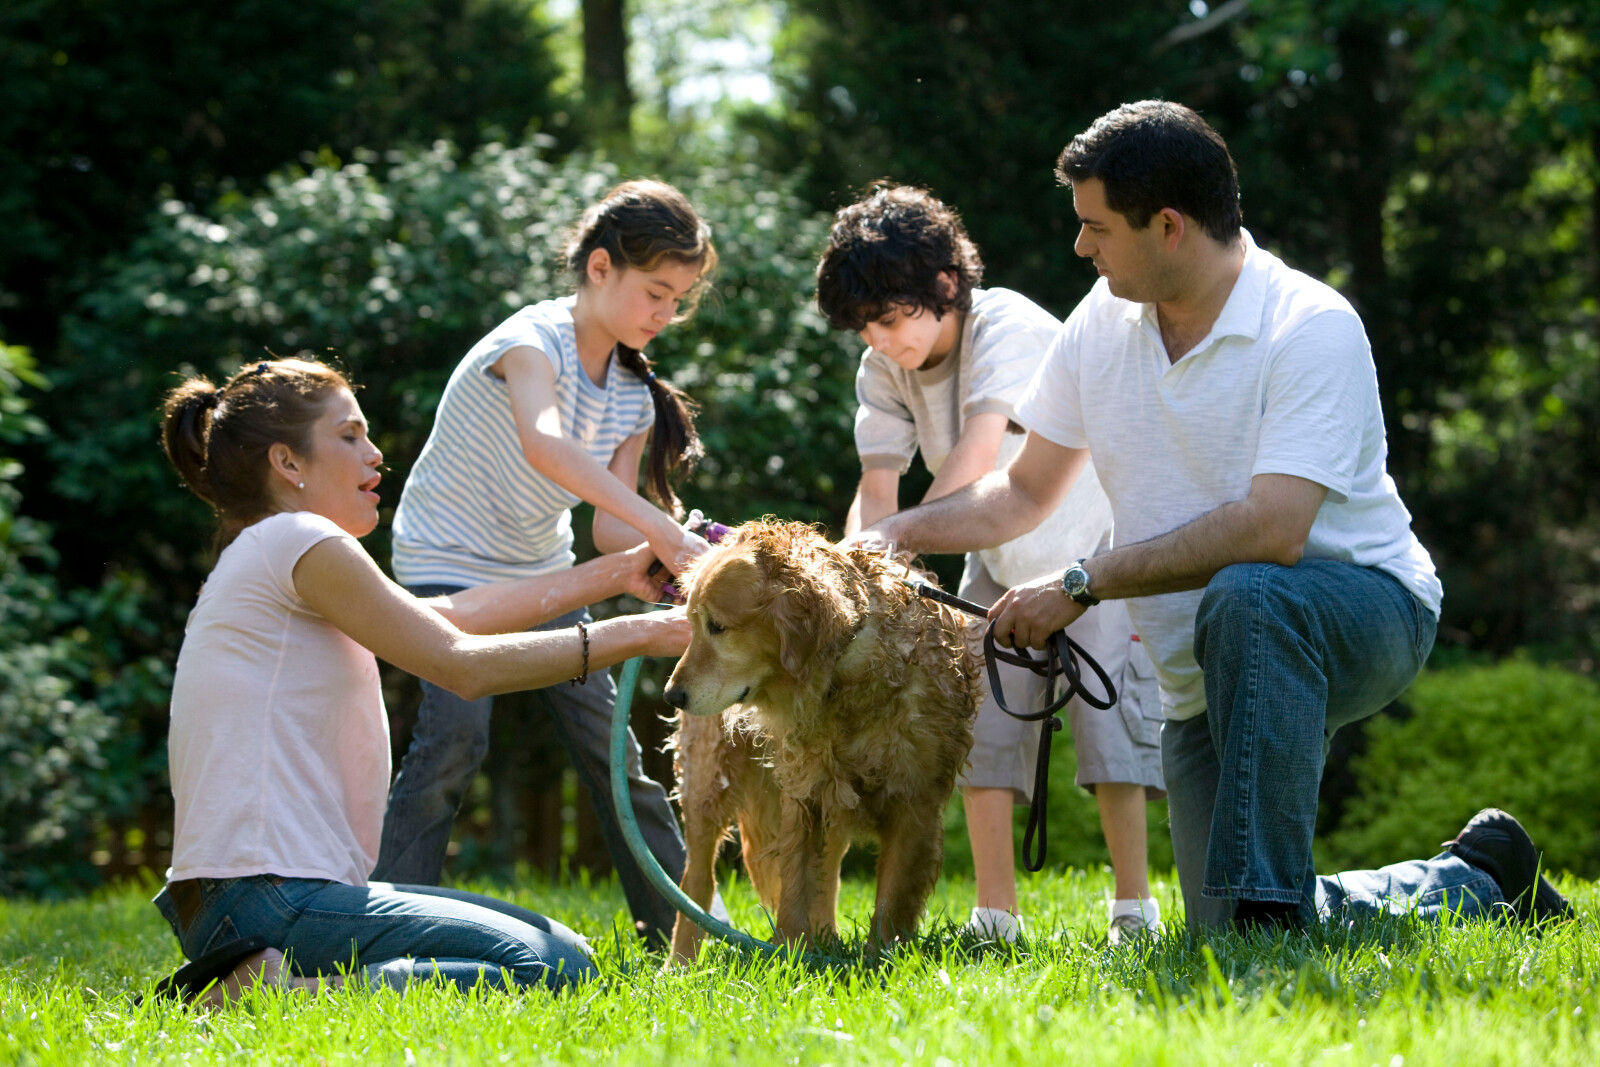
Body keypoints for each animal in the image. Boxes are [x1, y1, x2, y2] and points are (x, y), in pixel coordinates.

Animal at [659, 518, 979, 959]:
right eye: (691, 625)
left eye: (718, 627)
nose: (671, 695)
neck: (847, 675)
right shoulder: (805, 792)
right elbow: (795, 888)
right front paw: (791, 957)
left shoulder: (916, 802)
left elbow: (892, 898)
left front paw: (879, 957)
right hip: (707, 783)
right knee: (698, 878)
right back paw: (681, 961)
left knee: (828, 875)